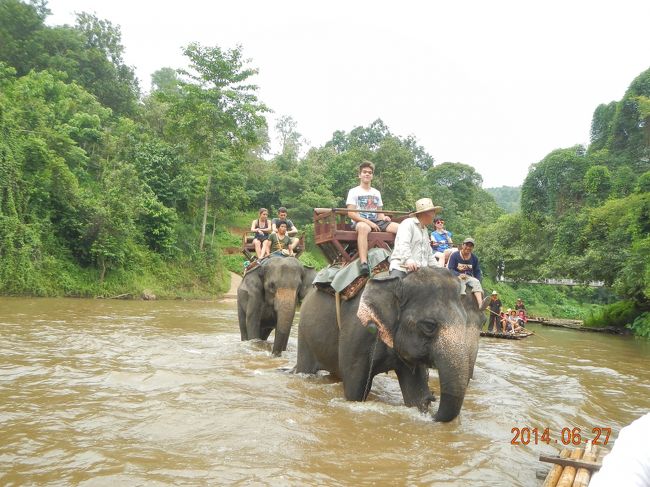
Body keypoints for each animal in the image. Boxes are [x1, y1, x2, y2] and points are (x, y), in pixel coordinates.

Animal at [296, 266, 484, 424]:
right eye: (429, 326)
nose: (432, 398)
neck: (399, 283)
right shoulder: (358, 329)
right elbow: (355, 390)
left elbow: (414, 392)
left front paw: (419, 403)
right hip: (305, 332)